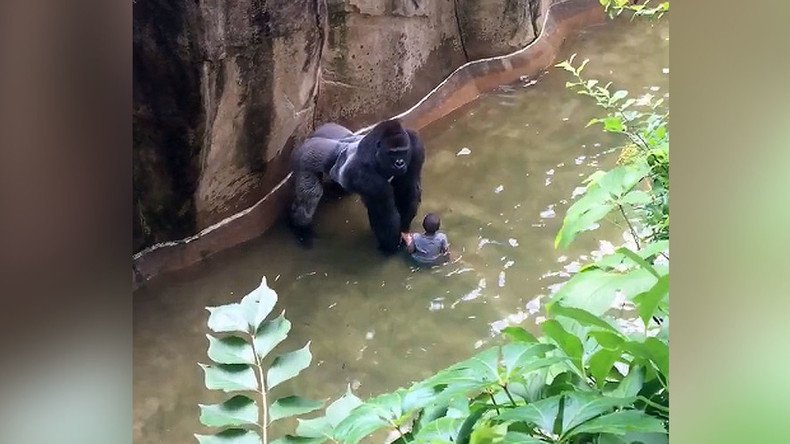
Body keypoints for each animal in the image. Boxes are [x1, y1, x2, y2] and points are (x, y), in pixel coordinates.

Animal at [290, 119, 426, 253]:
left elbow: (409, 189)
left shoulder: (415, 145)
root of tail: (310, 137)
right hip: (306, 156)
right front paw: (390, 247)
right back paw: (301, 229)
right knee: (311, 196)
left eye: (403, 152)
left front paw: (404, 231)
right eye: (392, 153)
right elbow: (384, 212)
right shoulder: (363, 172)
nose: (400, 163)